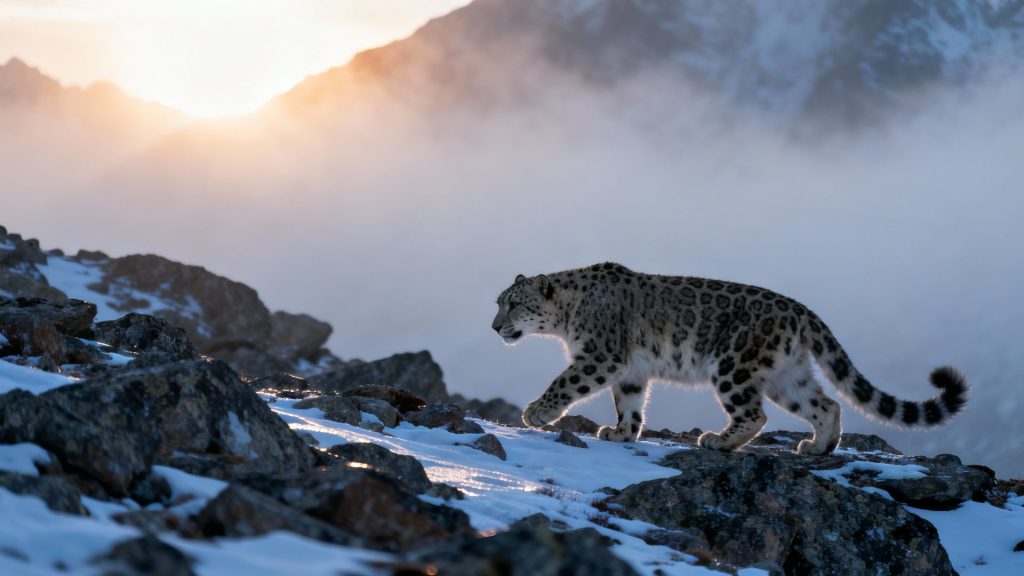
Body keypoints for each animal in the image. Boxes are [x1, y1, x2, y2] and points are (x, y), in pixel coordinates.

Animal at [491, 263, 968, 454]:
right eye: (499, 302)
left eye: (513, 303)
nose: (495, 327)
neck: (567, 318)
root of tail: (800, 309)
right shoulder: (630, 370)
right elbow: (629, 402)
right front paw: (622, 433)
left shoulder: (601, 355)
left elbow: (566, 382)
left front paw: (536, 412)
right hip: (787, 376)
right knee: (826, 403)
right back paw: (818, 446)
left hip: (733, 366)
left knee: (755, 414)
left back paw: (717, 440)